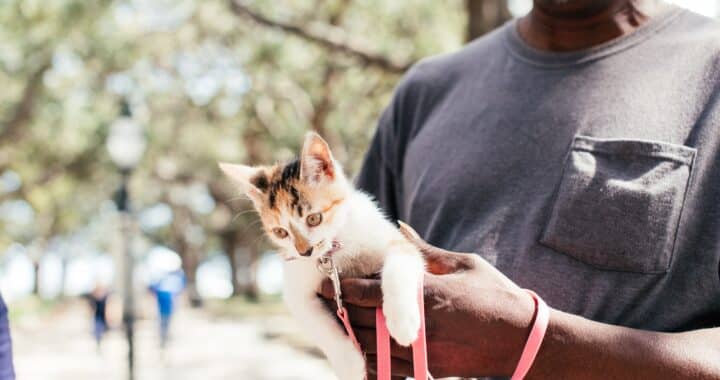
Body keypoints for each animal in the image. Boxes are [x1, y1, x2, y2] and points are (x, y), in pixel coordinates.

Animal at [217, 132, 424, 378]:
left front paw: (403, 322)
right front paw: (349, 364)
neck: (333, 253)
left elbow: (399, 267)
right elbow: (318, 326)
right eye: (281, 232)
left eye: (314, 219)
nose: (304, 251)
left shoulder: (401, 243)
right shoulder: (296, 292)